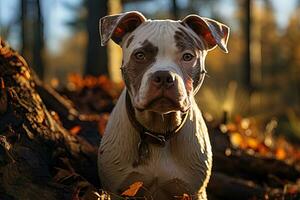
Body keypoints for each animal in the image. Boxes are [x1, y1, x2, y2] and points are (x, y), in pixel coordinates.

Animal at [97, 11, 229, 200]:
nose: (164, 76)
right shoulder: (116, 189)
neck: (159, 130)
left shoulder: (194, 191)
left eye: (188, 56)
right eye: (140, 55)